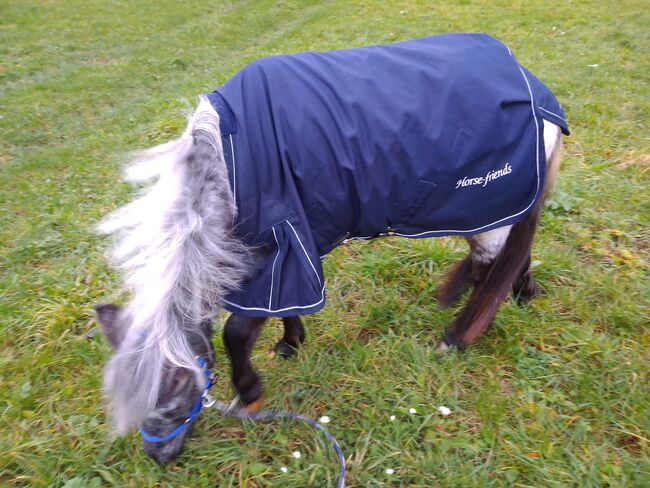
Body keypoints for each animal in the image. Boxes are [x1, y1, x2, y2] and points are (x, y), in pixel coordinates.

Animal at [93, 33, 564, 462]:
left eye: (173, 390)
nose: (160, 457)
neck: (228, 163)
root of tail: (540, 97)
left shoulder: (282, 247)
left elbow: (238, 332)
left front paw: (252, 393)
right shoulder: (284, 249)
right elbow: (283, 309)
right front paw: (291, 345)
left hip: (490, 205)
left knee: (493, 263)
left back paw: (460, 333)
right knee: (509, 257)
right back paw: (520, 296)